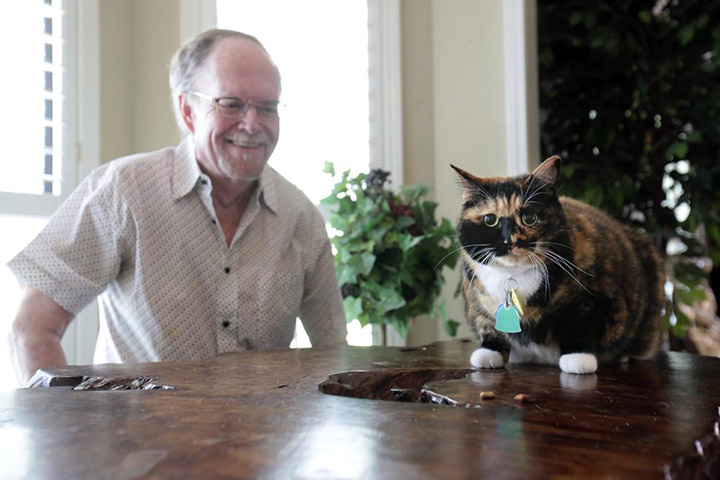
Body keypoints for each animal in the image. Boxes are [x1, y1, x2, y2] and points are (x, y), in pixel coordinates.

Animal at [452, 158, 668, 376]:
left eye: (529, 218)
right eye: (490, 219)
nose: (509, 241)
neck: (513, 276)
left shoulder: (591, 298)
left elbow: (579, 324)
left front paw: (578, 358)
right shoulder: (476, 300)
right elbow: (487, 324)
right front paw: (489, 352)